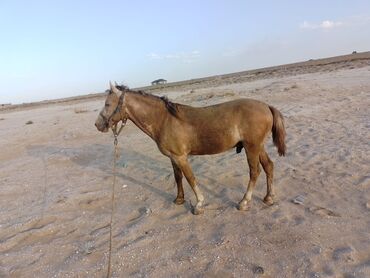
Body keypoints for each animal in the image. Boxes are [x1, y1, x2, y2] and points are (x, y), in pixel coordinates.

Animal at [95, 82, 286, 215]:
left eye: (107, 104)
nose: (98, 125)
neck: (164, 120)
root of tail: (266, 106)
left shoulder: (181, 157)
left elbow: (190, 178)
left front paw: (199, 205)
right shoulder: (173, 157)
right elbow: (178, 177)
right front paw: (179, 199)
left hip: (251, 147)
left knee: (255, 172)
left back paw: (244, 202)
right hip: (258, 146)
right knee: (269, 166)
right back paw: (269, 198)